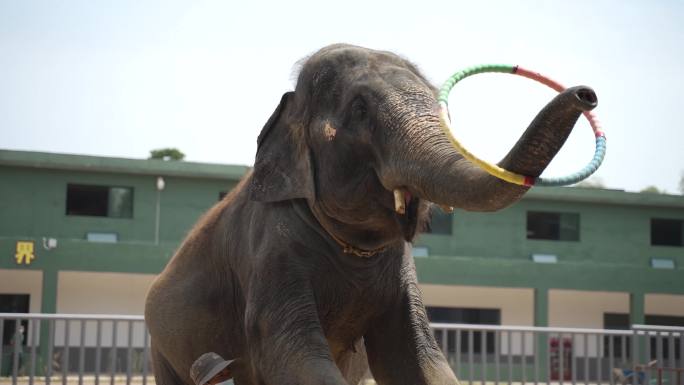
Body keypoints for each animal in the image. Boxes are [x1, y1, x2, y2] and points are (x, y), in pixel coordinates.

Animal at [143, 43, 592, 384]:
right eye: (359, 110)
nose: (585, 93)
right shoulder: (269, 249)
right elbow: (289, 351)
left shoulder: (400, 271)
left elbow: (414, 358)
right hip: (161, 345)